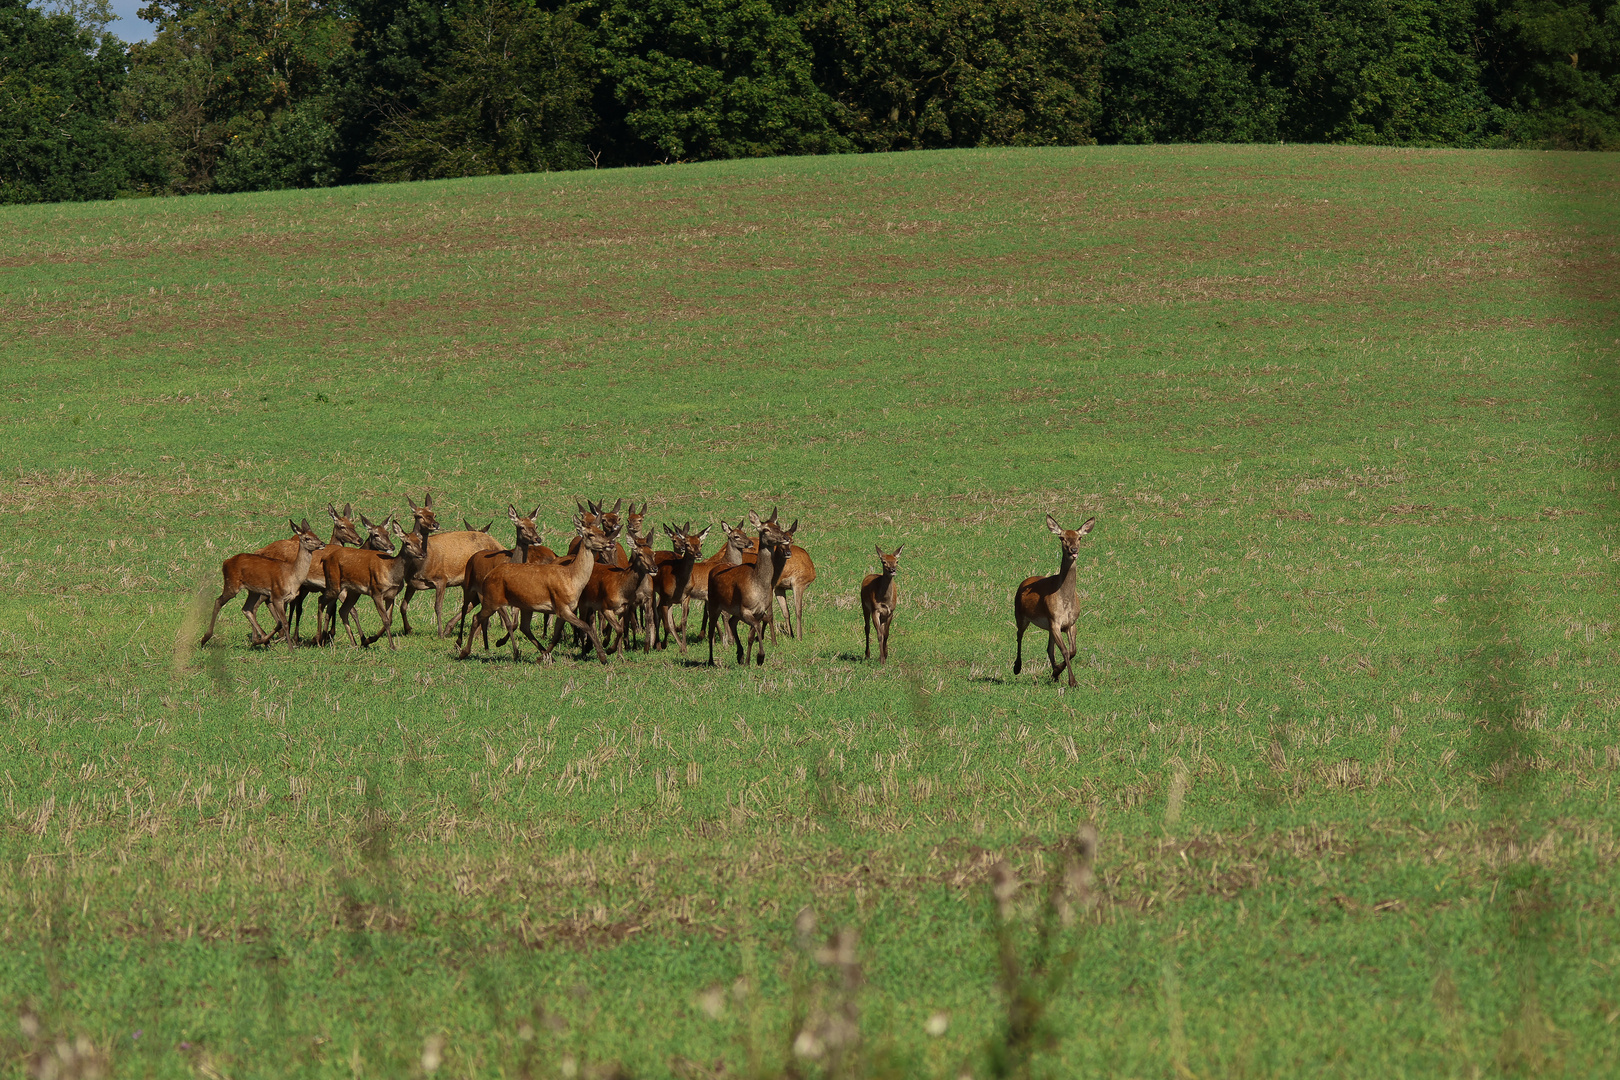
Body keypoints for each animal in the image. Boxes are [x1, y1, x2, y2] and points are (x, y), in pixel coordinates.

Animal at [199, 521, 325, 650]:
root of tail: (226, 562)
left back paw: (261, 641)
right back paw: (205, 639)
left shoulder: (286, 598)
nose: (322, 543)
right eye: (307, 538)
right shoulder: (277, 595)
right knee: (218, 601)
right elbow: (284, 623)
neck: (292, 576)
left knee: (246, 608)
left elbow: (280, 622)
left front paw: (264, 641)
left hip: (253, 591)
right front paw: (290, 648)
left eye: (316, 535)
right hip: (232, 584)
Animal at [324, 518, 430, 647]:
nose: (423, 554)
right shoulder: (376, 592)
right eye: (407, 543)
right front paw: (392, 646)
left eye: (420, 541)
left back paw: (355, 643)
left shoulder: (391, 595)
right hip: (335, 585)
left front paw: (369, 639)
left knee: (343, 610)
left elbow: (390, 619)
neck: (392, 573)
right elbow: (385, 619)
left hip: (353, 591)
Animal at [469, 518, 618, 663]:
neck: (572, 578)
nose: (610, 543)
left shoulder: (565, 609)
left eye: (602, 532)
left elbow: (557, 635)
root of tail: (488, 575)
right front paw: (603, 656)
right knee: (477, 617)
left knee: (524, 627)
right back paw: (467, 651)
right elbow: (585, 626)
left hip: (525, 605)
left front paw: (544, 656)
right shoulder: (561, 606)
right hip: (492, 599)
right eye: (591, 534)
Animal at [706, 508, 793, 667]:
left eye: (778, 526)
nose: (785, 537)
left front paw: (747, 661)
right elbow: (757, 627)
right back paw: (711, 660)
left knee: (732, 622)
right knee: (711, 630)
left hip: (734, 610)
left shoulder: (758, 611)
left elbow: (751, 635)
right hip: (714, 604)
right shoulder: (745, 609)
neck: (759, 584)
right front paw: (760, 657)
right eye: (765, 529)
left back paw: (740, 655)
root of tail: (714, 569)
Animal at [1010, 514, 1101, 683]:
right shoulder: (1054, 621)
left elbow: (1073, 651)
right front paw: (1072, 681)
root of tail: (1025, 581)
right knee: (1019, 635)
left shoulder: (1071, 623)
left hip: (1048, 626)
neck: (1065, 600)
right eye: (1062, 538)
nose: (1073, 550)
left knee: (1049, 648)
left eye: (1079, 538)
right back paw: (1017, 667)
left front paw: (1057, 671)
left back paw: (1055, 674)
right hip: (1020, 614)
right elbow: (1065, 651)